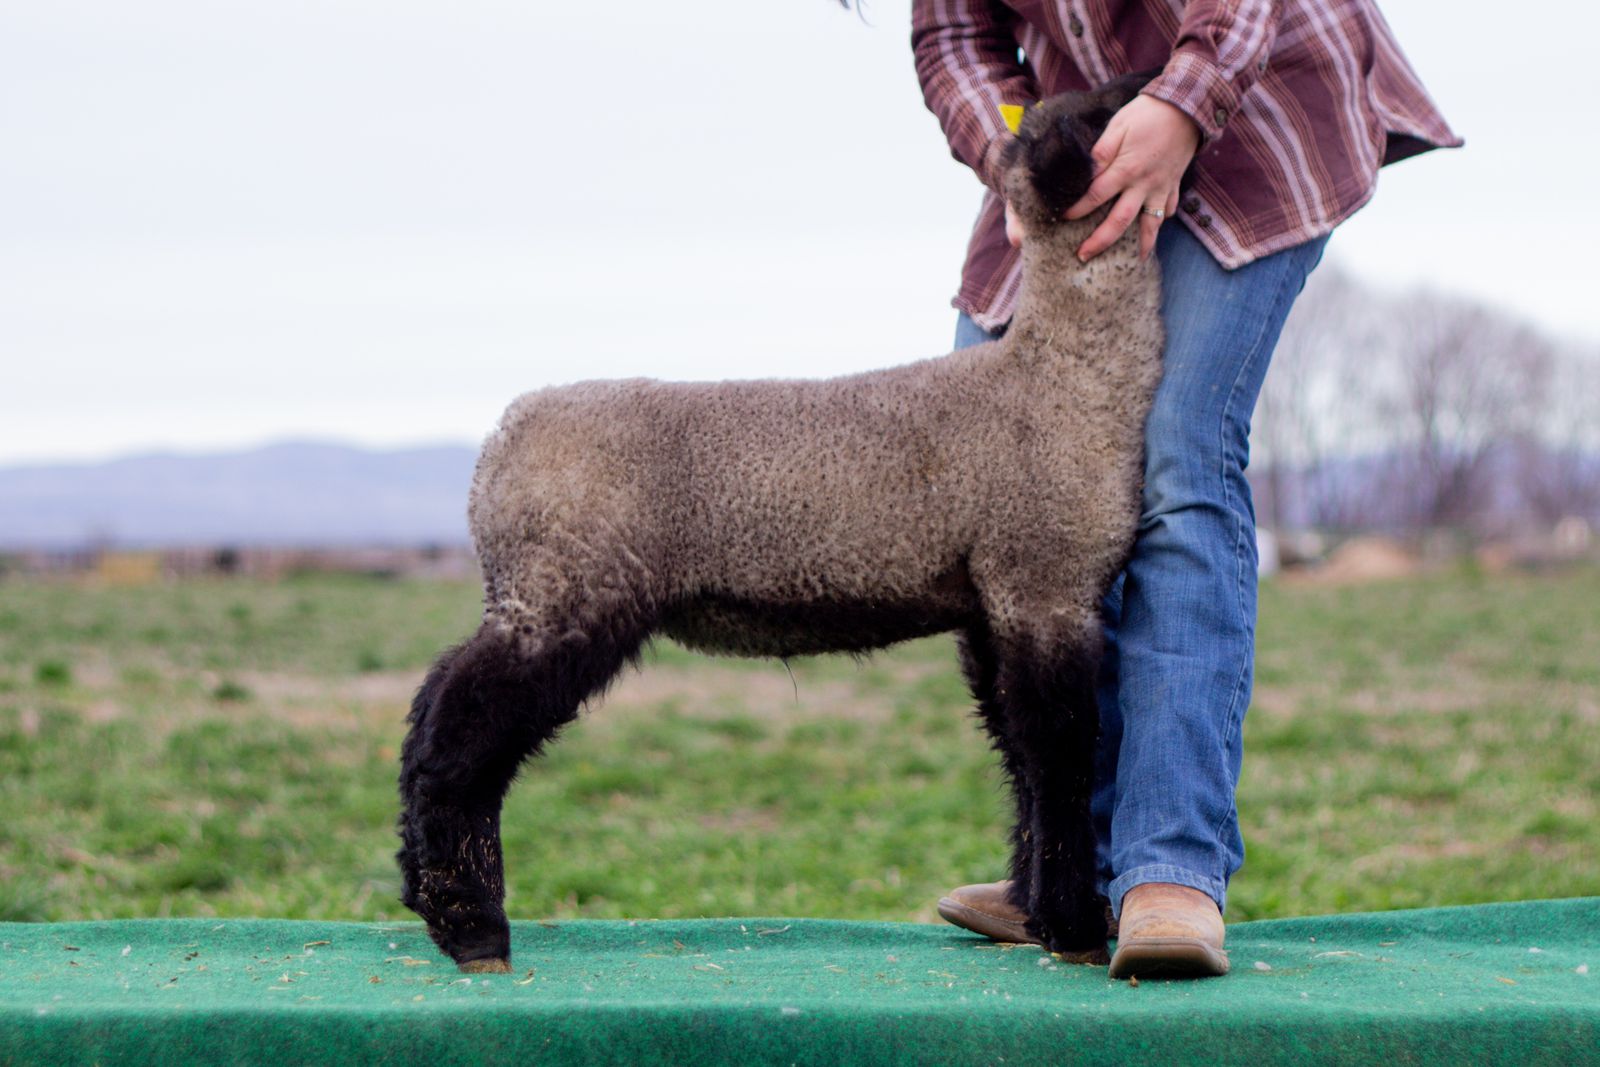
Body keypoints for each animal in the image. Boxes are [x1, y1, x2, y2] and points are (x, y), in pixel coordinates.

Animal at [397, 74, 1165, 974]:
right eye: (1100, 110)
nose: (1151, 83)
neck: (1065, 375)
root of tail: (495, 447)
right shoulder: (1044, 581)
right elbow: (1063, 753)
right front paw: (1075, 925)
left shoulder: (991, 604)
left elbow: (1018, 754)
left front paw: (1036, 909)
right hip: (565, 591)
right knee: (460, 733)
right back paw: (472, 925)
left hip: (535, 592)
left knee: (433, 705)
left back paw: (427, 894)